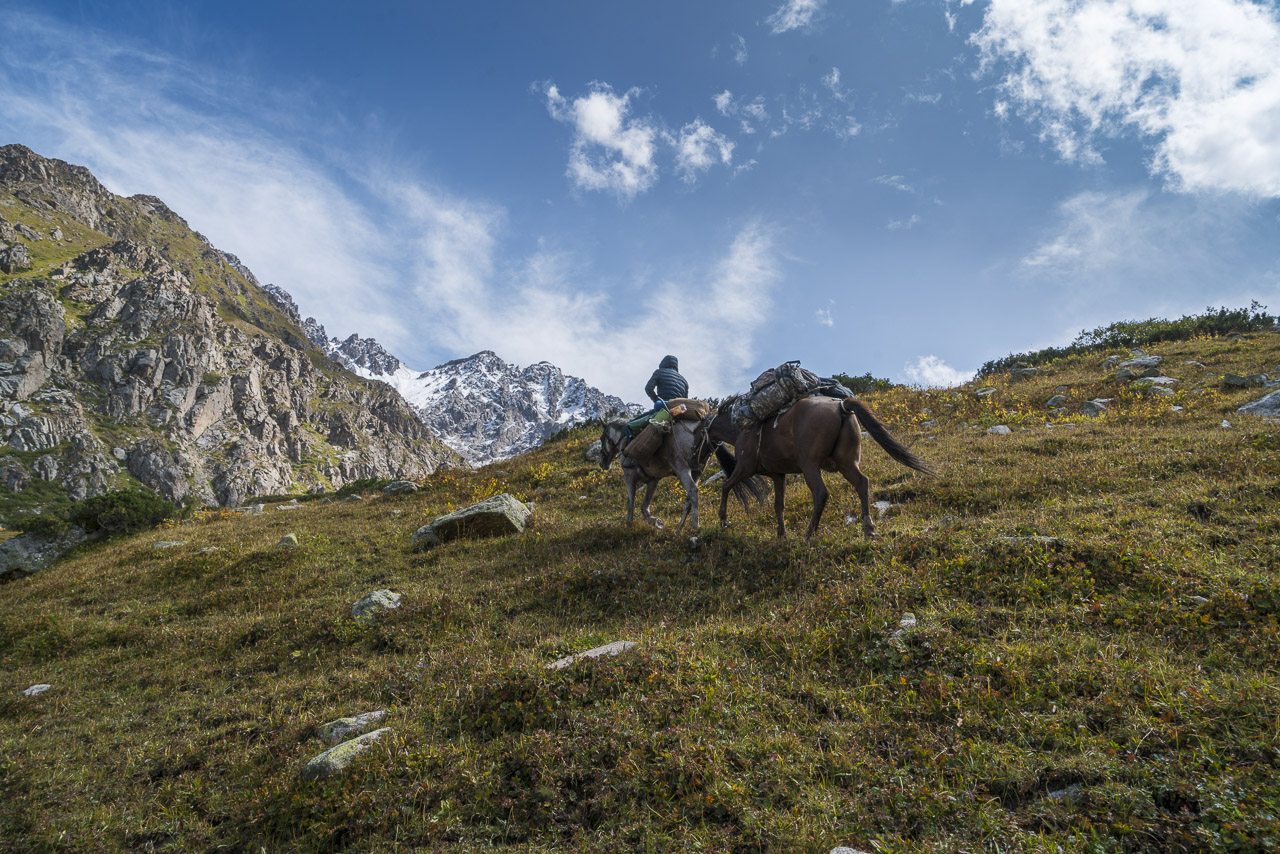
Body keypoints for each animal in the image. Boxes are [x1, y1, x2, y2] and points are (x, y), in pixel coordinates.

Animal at [706, 391, 936, 537]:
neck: (740, 430)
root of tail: (841, 406)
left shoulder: (744, 468)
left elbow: (725, 487)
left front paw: (723, 519)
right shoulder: (778, 475)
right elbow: (779, 505)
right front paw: (781, 534)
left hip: (810, 465)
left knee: (820, 493)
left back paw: (809, 534)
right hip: (846, 463)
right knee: (862, 483)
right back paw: (868, 528)